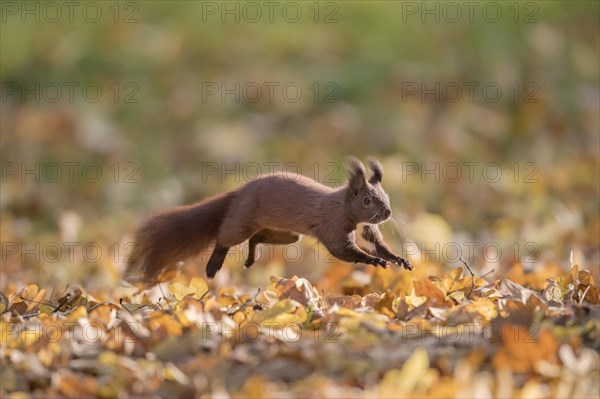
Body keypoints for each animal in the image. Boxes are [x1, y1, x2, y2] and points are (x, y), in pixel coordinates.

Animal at [126, 158, 412, 286]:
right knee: (225, 237)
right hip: (242, 220)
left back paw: (252, 255)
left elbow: (378, 242)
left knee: (257, 237)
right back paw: (213, 264)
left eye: (385, 195)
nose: (387, 212)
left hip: (287, 234)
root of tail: (238, 193)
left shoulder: (367, 227)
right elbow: (343, 250)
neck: (343, 207)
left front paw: (397, 258)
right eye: (366, 200)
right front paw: (373, 260)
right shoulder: (332, 225)